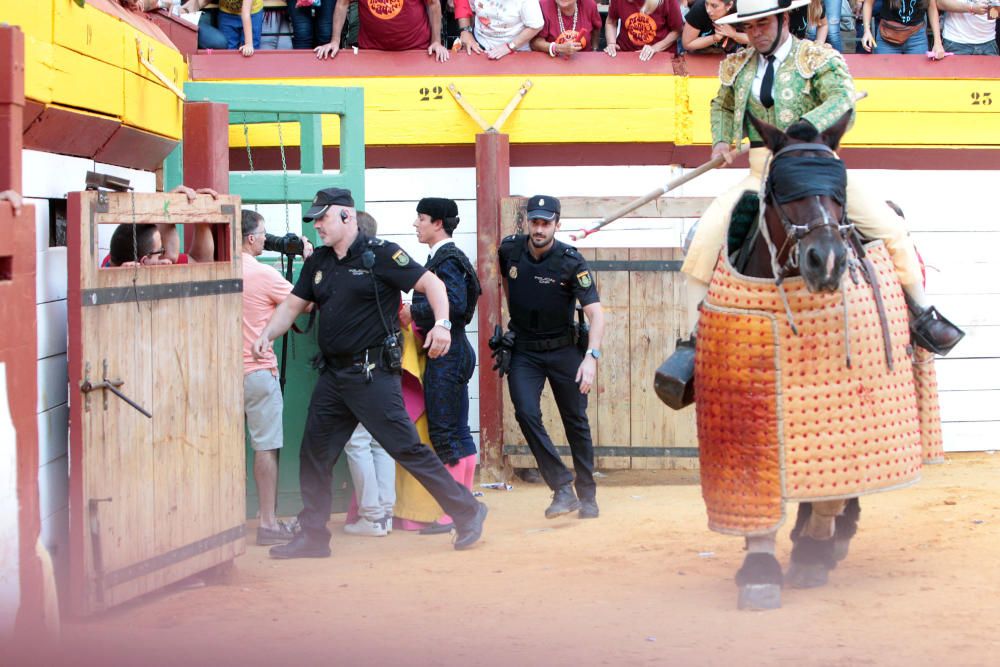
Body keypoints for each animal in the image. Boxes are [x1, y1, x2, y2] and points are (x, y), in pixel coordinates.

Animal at [692, 112, 924, 612]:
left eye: (840, 188)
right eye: (782, 189)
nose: (828, 261)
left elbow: (833, 491)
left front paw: (814, 552)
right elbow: (754, 481)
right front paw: (760, 570)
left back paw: (830, 538)